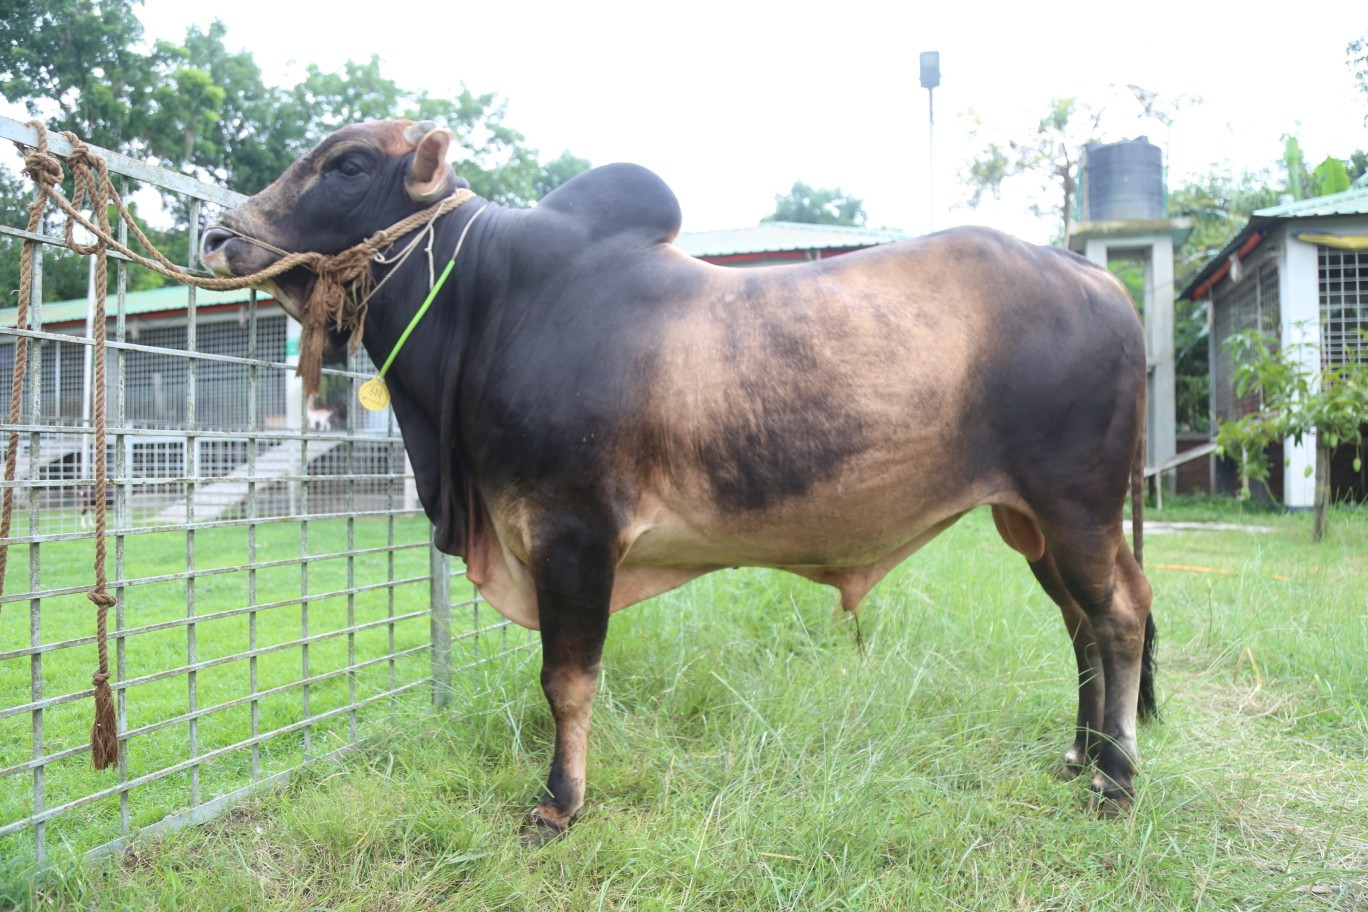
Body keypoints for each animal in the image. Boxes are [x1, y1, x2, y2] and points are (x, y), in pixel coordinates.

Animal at [201, 120, 1157, 843]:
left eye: (349, 164)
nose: (216, 234)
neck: (491, 300)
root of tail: (1099, 278)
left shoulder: (573, 534)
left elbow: (566, 680)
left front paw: (560, 805)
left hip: (1075, 504)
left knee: (1117, 616)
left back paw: (1115, 781)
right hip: (1030, 520)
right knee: (1081, 623)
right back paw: (1079, 755)